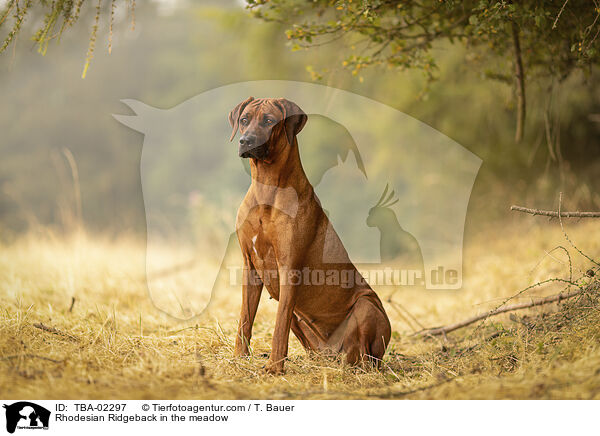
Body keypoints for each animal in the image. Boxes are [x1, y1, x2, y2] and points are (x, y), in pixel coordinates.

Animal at [227, 97, 392, 372]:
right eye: (244, 119)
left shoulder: (289, 268)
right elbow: (245, 319)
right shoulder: (250, 266)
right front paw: (239, 358)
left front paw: (274, 368)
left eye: (269, 121)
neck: (266, 188)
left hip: (367, 305)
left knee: (364, 354)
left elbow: (278, 327)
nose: (245, 141)